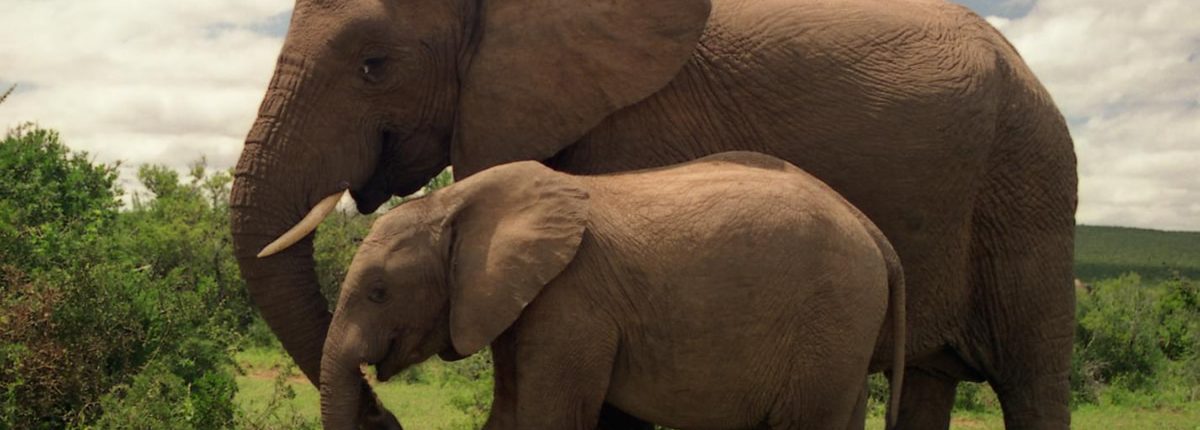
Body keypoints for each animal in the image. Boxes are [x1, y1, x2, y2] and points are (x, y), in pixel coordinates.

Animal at [316, 151, 902, 430]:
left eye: (378, 292)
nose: (381, 414)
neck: (456, 200)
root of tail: (873, 230)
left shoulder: (572, 304)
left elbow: (545, 421)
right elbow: (508, 416)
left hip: (831, 316)